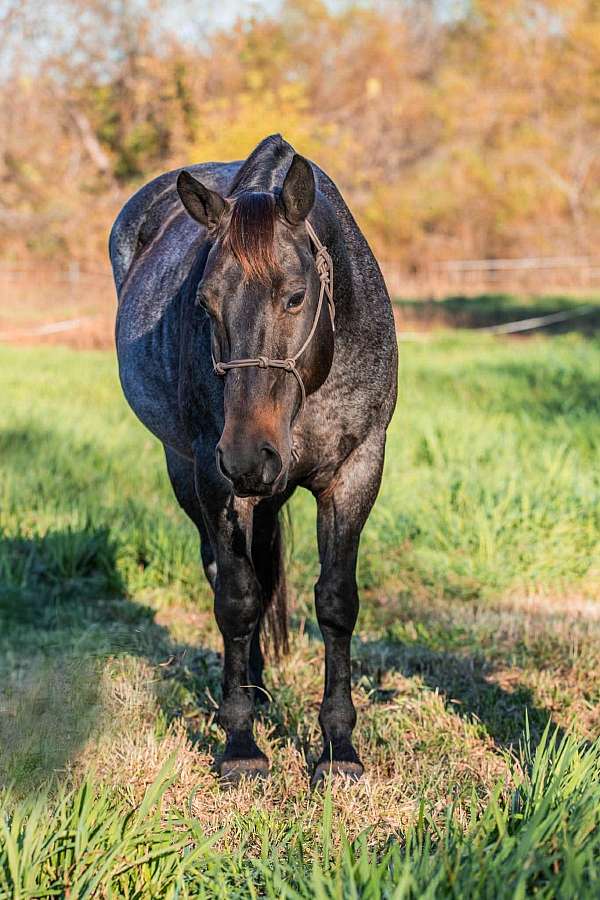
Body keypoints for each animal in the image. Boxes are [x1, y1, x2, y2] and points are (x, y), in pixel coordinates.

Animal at [110, 134, 398, 786]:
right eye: (205, 303)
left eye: (295, 296)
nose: (247, 456)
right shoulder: (216, 480)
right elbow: (238, 601)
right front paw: (241, 742)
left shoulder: (356, 472)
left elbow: (336, 602)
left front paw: (339, 749)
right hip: (189, 472)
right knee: (225, 574)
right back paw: (241, 695)